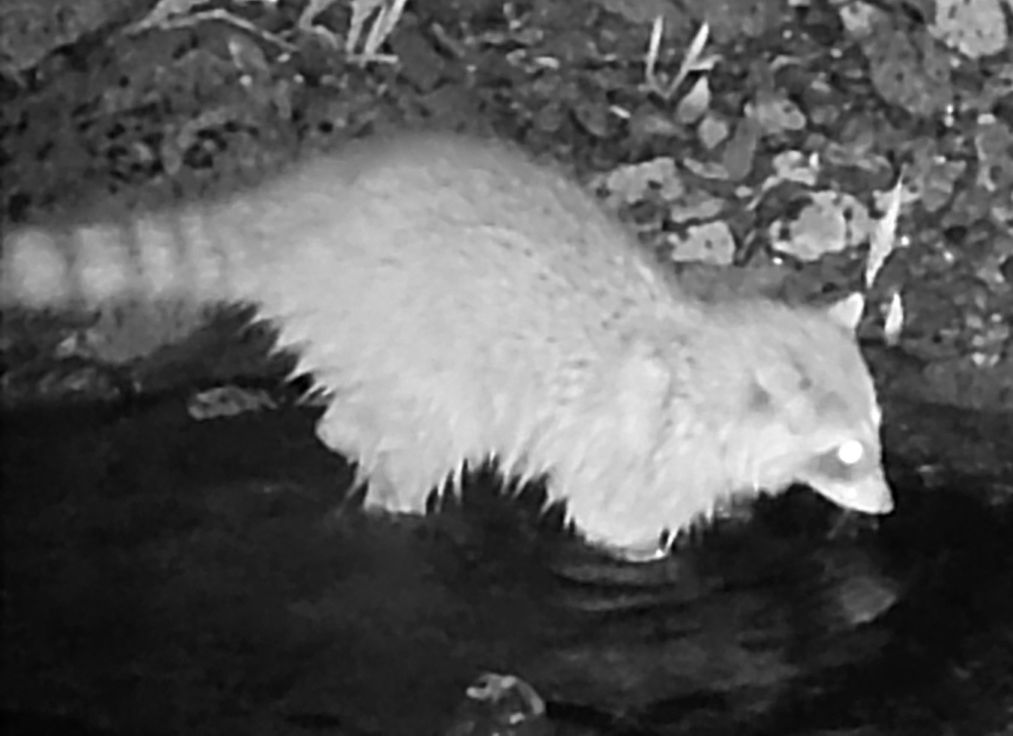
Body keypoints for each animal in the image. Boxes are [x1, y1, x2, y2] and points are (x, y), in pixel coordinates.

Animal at [0, 133, 894, 559]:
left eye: (877, 435)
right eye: (844, 452)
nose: (888, 508)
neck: (707, 356)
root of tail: (286, 217)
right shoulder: (634, 450)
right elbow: (610, 523)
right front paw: (648, 552)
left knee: (347, 421)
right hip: (399, 341)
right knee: (421, 441)